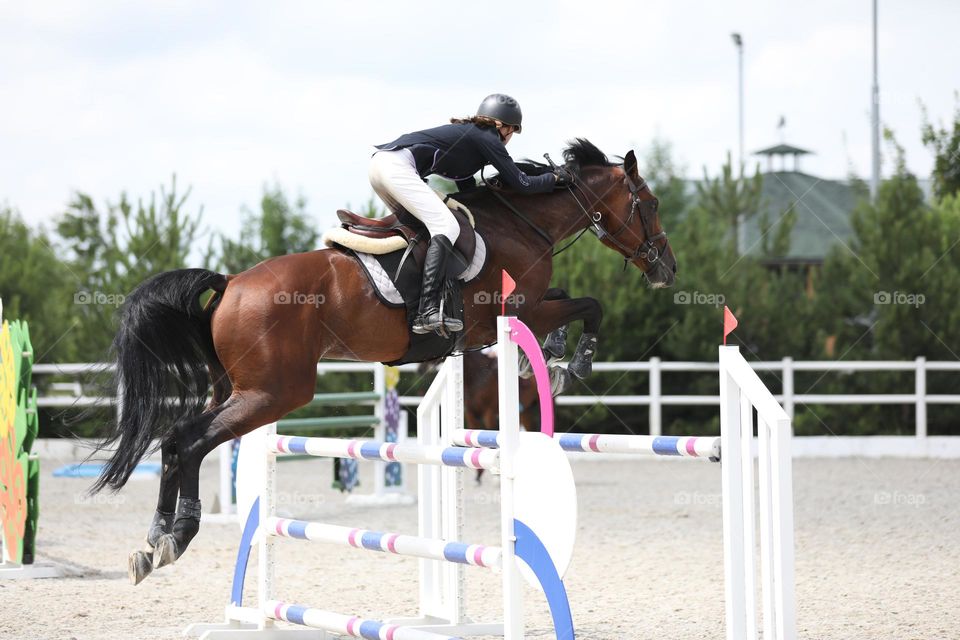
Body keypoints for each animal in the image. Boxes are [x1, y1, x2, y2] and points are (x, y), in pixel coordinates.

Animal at [93, 138, 677, 585]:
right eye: (649, 203)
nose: (666, 268)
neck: (523, 222)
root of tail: (231, 281)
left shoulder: (522, 310)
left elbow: (569, 302)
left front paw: (553, 355)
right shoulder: (518, 307)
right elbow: (589, 304)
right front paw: (574, 363)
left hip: (241, 390)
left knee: (177, 442)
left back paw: (153, 542)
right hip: (273, 393)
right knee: (187, 441)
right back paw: (176, 536)